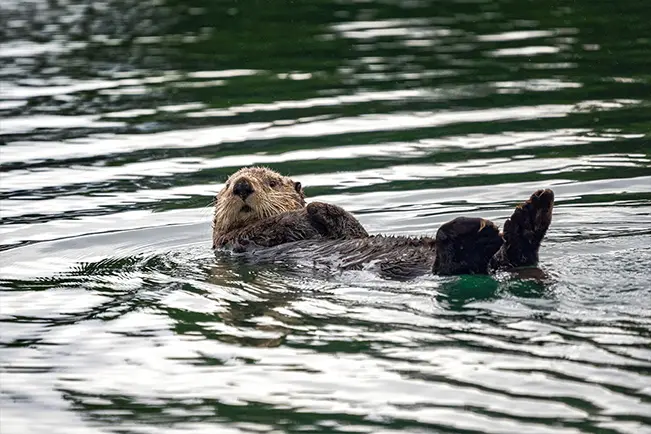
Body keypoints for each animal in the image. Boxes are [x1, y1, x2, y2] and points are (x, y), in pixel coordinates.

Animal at [212, 167, 554, 279]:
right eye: (228, 185)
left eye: (270, 182)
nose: (241, 185)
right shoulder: (239, 241)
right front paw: (318, 206)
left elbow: (351, 227)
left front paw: (318, 206)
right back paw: (473, 236)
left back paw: (531, 216)